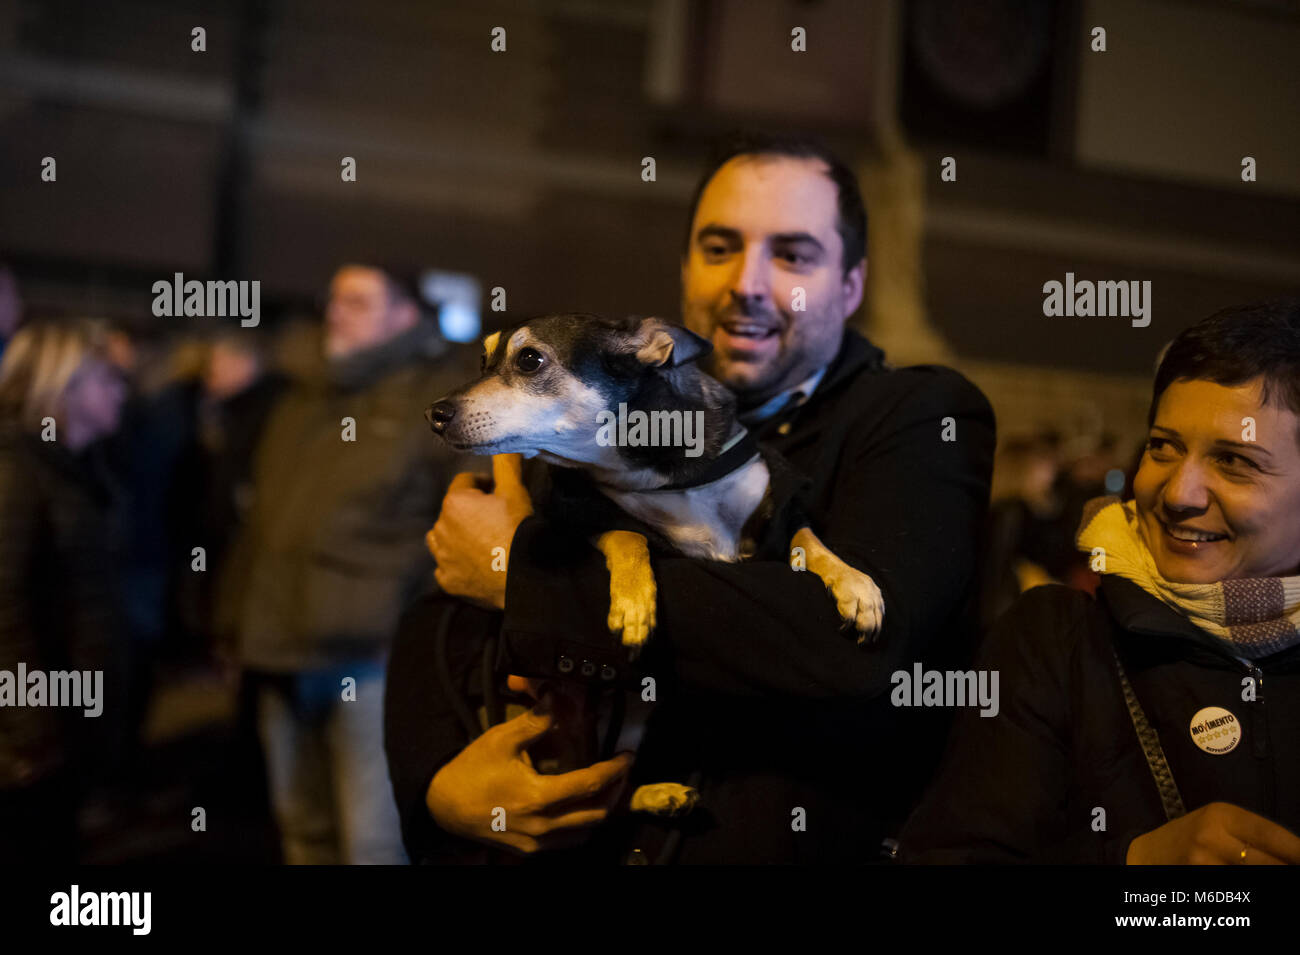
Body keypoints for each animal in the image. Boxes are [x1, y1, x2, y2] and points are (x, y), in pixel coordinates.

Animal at [426, 311, 883, 815]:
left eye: (529, 360)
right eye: (482, 360)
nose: (435, 414)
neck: (656, 470)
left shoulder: (778, 514)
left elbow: (810, 540)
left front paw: (857, 588)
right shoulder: (575, 518)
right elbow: (629, 534)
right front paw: (633, 604)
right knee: (594, 782)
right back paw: (652, 792)